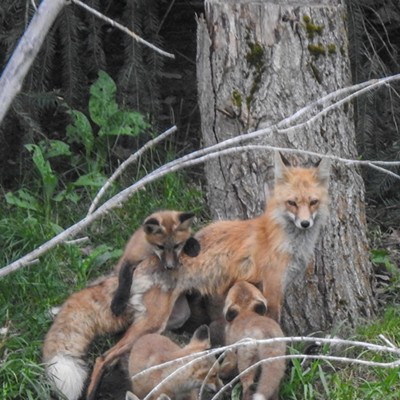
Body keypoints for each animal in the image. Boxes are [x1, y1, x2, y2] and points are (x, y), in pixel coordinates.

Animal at [86, 152, 332, 396]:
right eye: (292, 203)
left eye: (313, 202)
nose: (305, 223)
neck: (285, 240)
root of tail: (144, 260)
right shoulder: (272, 293)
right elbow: (275, 329)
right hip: (153, 322)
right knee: (102, 358)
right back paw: (91, 391)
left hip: (175, 317)